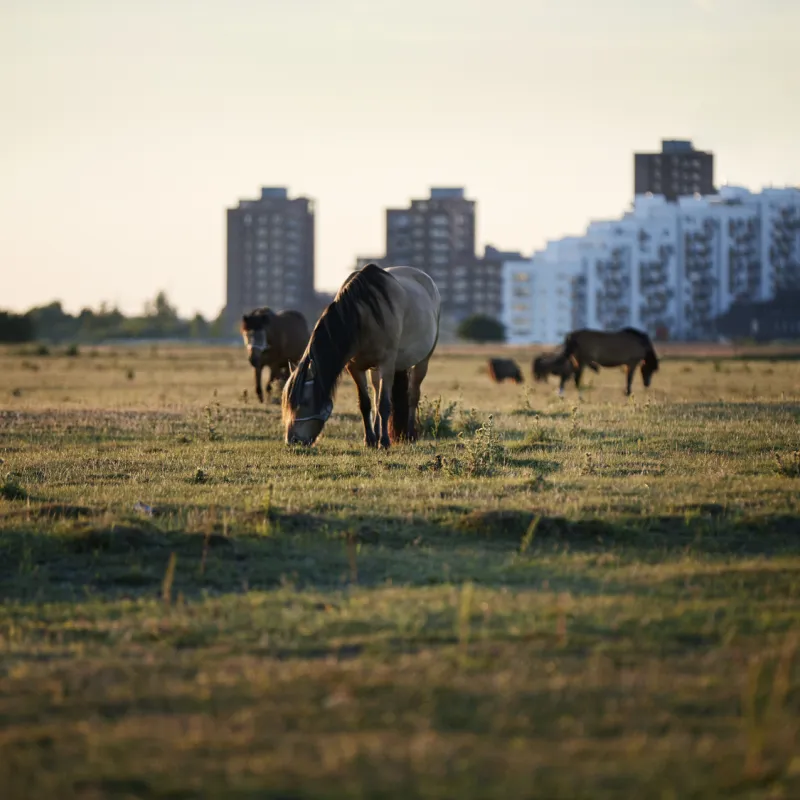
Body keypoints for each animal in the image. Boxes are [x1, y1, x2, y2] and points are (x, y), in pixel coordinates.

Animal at [282, 264, 440, 446]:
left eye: (306, 402)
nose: (292, 440)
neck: (364, 317)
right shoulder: (355, 368)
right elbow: (366, 403)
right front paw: (370, 439)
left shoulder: (387, 364)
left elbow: (384, 404)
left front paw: (384, 441)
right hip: (374, 369)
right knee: (377, 393)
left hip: (422, 361)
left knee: (413, 395)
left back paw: (409, 434)